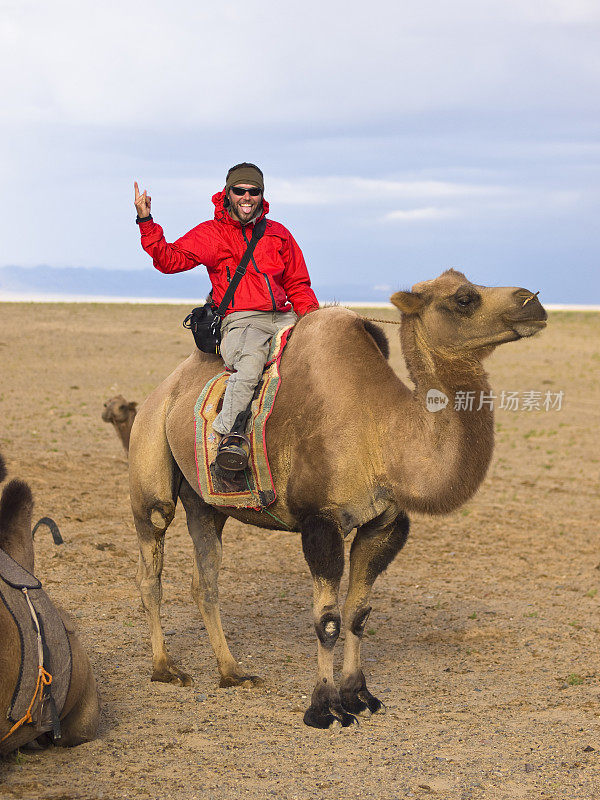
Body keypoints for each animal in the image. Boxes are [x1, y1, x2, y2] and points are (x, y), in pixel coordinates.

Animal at [127, 272, 548, 728]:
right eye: (464, 298)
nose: (533, 302)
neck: (383, 431)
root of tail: (163, 391)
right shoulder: (319, 521)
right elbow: (327, 620)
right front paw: (324, 707)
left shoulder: (384, 524)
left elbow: (359, 614)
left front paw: (359, 695)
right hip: (149, 468)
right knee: (151, 564)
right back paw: (165, 669)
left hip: (207, 504)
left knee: (205, 582)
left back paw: (233, 673)